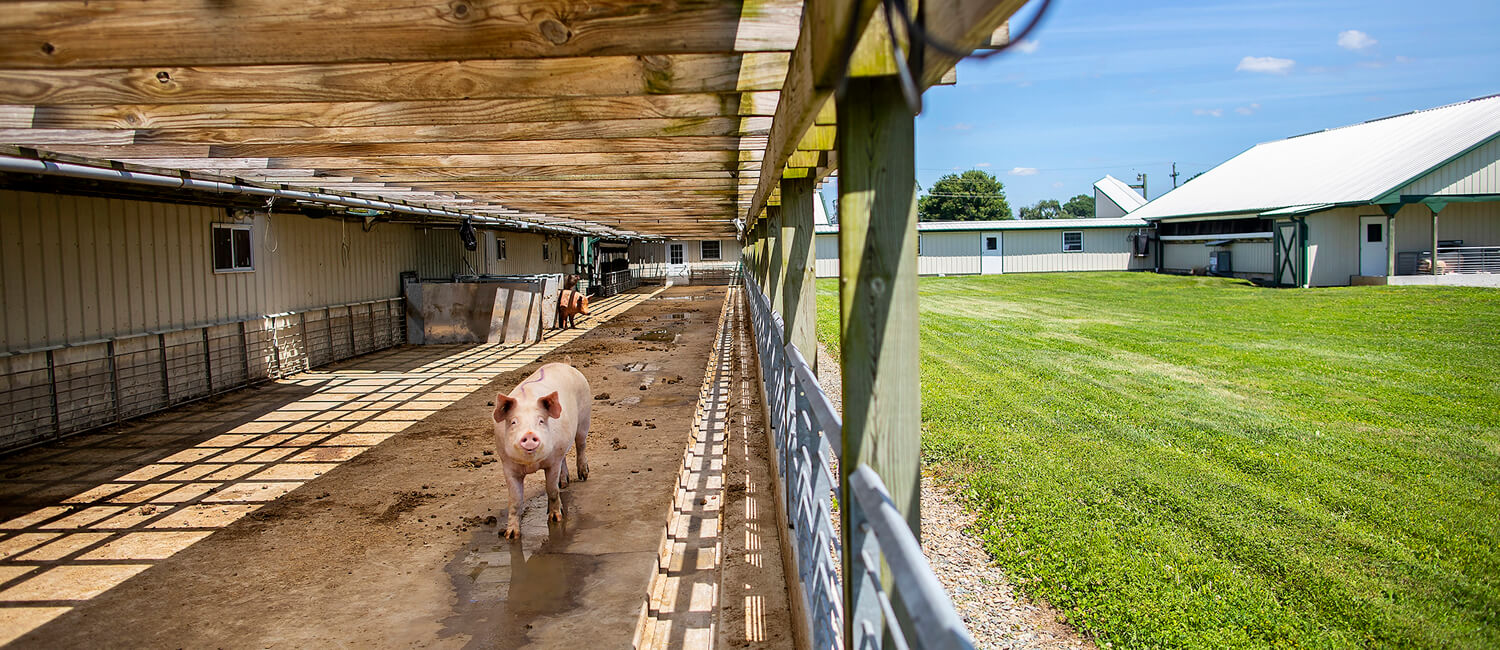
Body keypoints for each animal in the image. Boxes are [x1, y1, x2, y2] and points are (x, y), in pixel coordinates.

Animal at [489, 360, 588, 537]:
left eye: (541, 421)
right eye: (513, 422)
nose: (529, 434)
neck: (532, 464)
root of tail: (565, 363)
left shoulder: (553, 462)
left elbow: (552, 489)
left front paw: (555, 518)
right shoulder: (507, 465)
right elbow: (515, 501)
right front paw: (510, 535)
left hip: (585, 416)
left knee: (580, 444)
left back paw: (583, 475)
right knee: (565, 457)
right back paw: (564, 483)